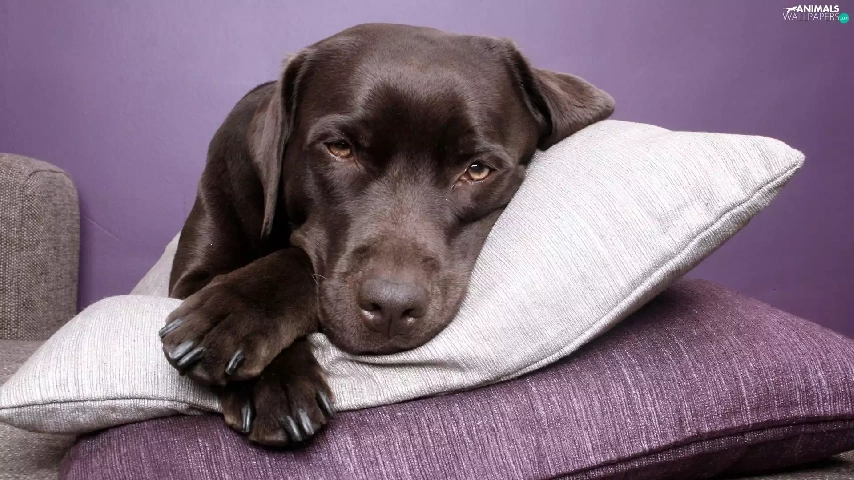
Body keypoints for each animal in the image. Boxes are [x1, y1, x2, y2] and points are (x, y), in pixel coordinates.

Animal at [159, 23, 614, 446]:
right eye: (340, 148)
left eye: (477, 169)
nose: (392, 307)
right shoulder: (189, 277)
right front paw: (262, 360)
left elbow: (297, 259)